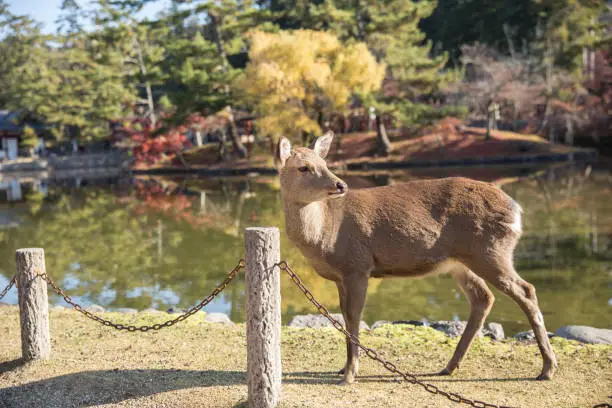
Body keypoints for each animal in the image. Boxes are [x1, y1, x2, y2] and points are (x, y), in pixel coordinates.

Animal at [280, 131, 556, 386]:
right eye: (303, 167)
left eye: (324, 163)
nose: (340, 185)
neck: (323, 233)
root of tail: (516, 210)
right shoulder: (341, 276)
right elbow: (345, 317)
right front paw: (343, 368)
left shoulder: (357, 266)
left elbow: (353, 316)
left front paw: (349, 375)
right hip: (462, 261)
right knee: (483, 297)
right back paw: (449, 366)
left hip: (491, 251)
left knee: (526, 290)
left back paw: (547, 368)